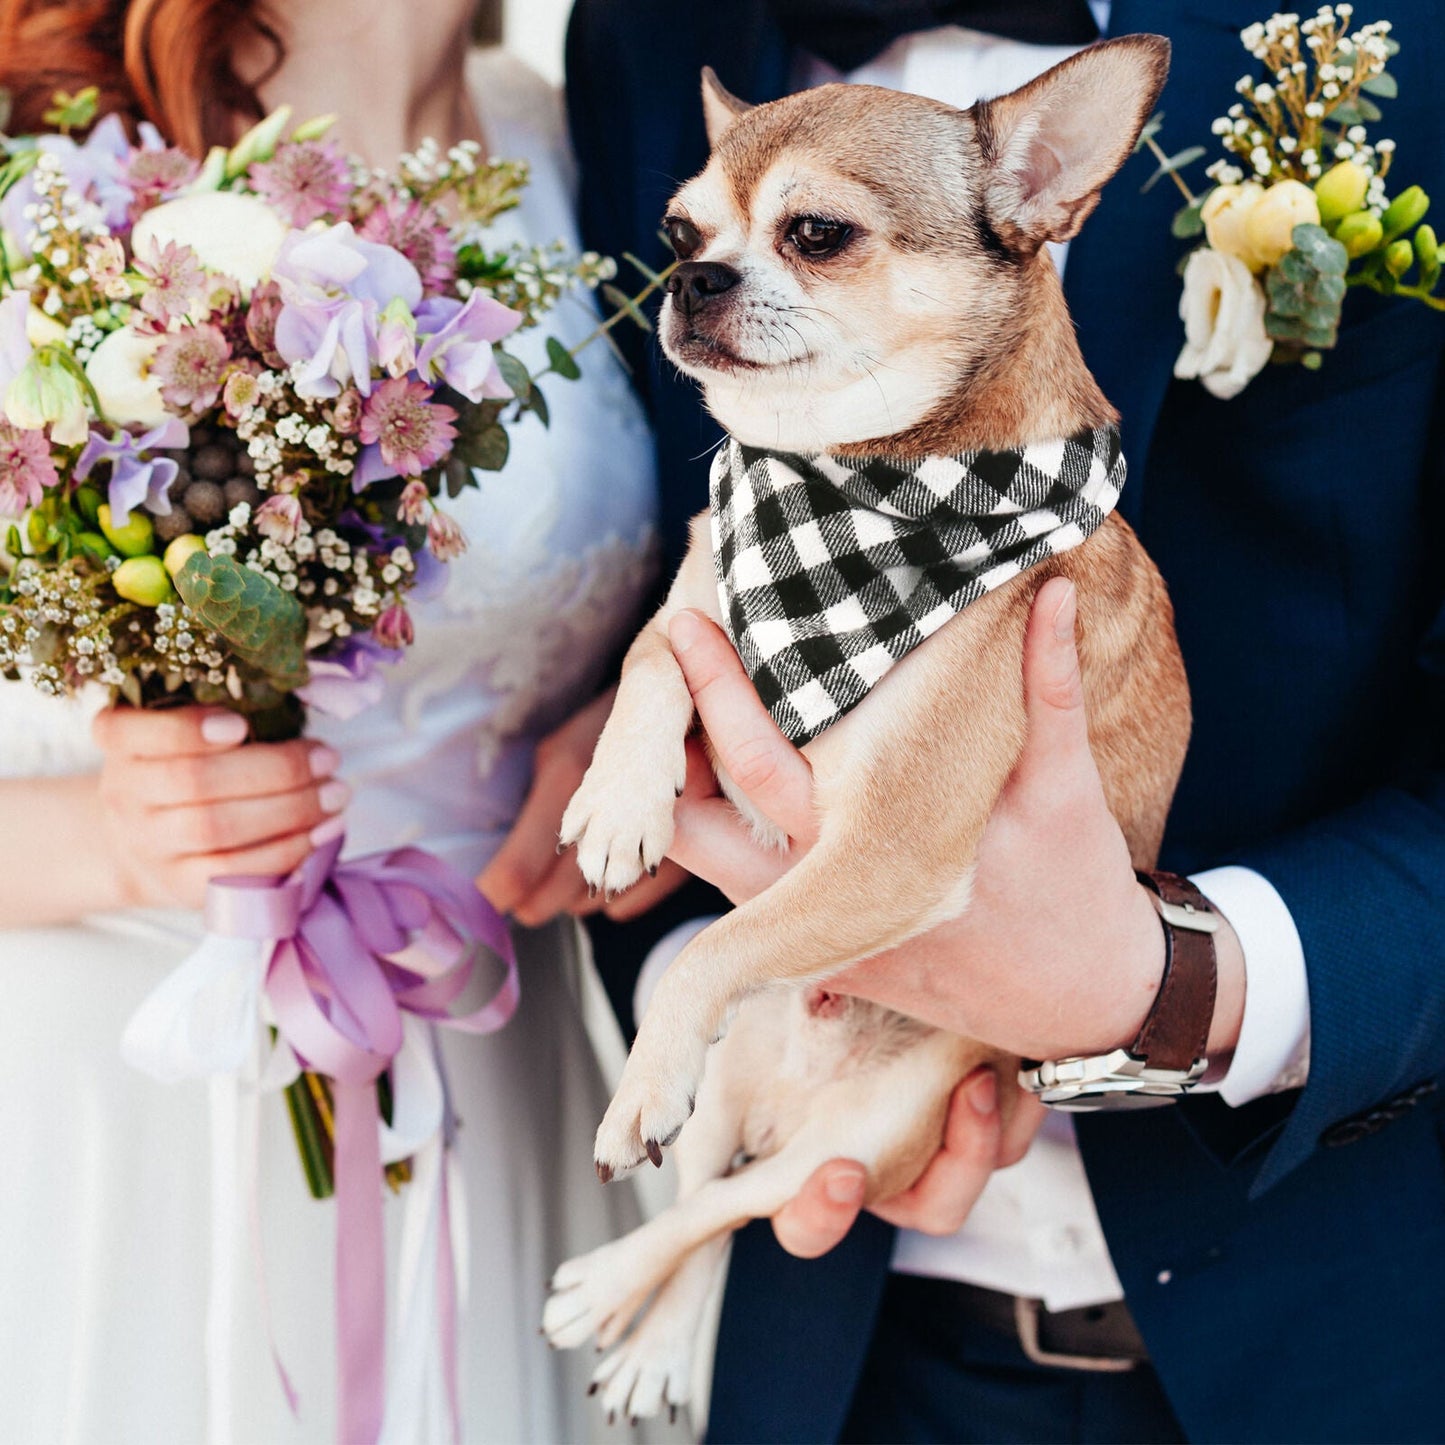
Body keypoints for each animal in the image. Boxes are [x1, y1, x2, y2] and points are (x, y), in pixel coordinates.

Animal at [546, 36, 1190, 1421]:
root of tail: (787, 1104)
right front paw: (620, 799)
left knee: (727, 1204)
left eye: (817, 233)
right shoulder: (699, 599)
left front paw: (643, 1066)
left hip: (852, 1146)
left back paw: (609, 1275)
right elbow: (649, 656)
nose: (690, 275)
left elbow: (715, 944)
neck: (837, 485)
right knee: (709, 1200)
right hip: (738, 1104)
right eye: (675, 230)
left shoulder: (886, 854)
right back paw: (646, 1330)